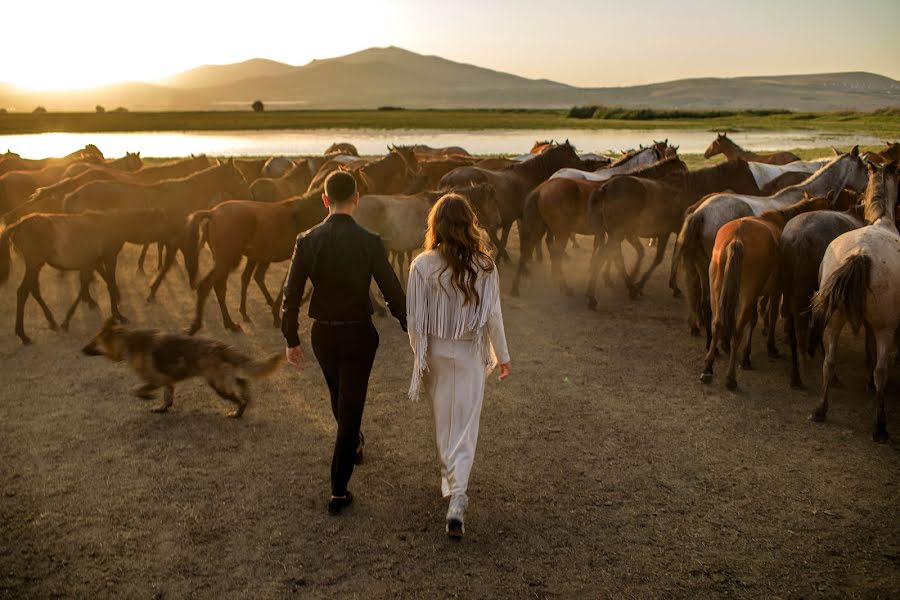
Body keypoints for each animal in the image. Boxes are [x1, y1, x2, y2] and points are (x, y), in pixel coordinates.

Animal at [0, 210, 181, 342]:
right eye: (163, 223)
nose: (175, 239)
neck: (116, 224)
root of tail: (18, 225)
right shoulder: (109, 257)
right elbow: (108, 283)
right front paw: (118, 315)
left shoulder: (93, 261)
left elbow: (87, 284)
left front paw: (69, 318)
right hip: (34, 264)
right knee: (23, 291)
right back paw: (23, 335)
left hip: (36, 265)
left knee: (33, 289)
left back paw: (51, 321)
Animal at [183, 191, 326, 336]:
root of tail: (212, 213)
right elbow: (285, 286)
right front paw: (277, 315)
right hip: (227, 261)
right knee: (206, 286)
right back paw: (197, 325)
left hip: (225, 262)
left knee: (220, 288)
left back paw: (230, 324)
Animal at [700, 193, 832, 390]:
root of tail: (737, 237)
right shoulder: (776, 291)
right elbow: (770, 316)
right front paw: (767, 348)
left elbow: (754, 319)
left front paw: (746, 356)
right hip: (748, 293)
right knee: (737, 331)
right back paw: (731, 377)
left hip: (719, 287)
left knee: (717, 323)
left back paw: (708, 368)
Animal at [808, 162, 900, 442]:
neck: (883, 220)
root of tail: (861, 254)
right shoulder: (881, 325)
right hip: (885, 328)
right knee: (881, 371)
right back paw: (880, 426)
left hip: (834, 320)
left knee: (829, 362)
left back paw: (821, 409)